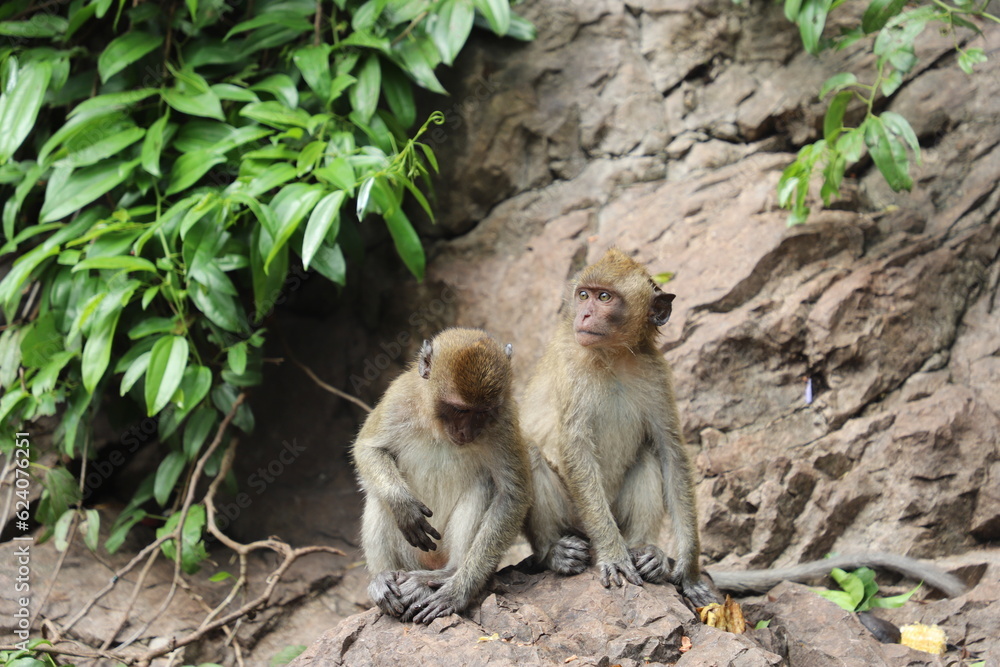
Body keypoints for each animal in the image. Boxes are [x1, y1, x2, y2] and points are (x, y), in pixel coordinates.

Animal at [353, 327, 531, 624]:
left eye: (482, 412)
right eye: (459, 409)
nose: (467, 432)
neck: (436, 424)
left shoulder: (503, 420)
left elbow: (513, 495)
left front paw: (459, 590)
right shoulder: (398, 396)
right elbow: (368, 448)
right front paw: (403, 505)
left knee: (484, 484)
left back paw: (448, 573)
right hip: (410, 556)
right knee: (377, 498)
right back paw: (383, 577)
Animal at [521, 247, 718, 607]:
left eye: (604, 297)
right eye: (583, 295)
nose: (584, 315)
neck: (612, 356)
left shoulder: (655, 371)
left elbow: (670, 451)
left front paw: (689, 569)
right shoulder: (571, 366)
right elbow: (576, 449)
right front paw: (612, 554)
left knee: (648, 454)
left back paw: (646, 552)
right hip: (575, 519)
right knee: (529, 451)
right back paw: (554, 552)